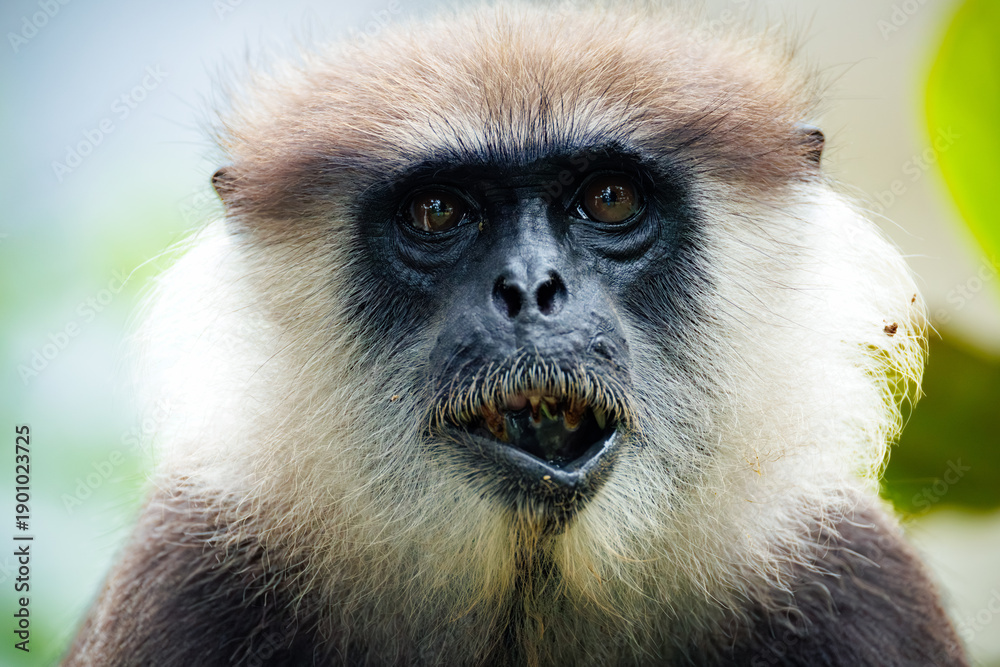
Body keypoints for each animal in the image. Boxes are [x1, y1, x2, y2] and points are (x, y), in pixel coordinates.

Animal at [64, 3, 968, 666]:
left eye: (609, 197)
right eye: (437, 211)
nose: (531, 291)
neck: (530, 594)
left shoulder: (857, 576)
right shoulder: (185, 580)